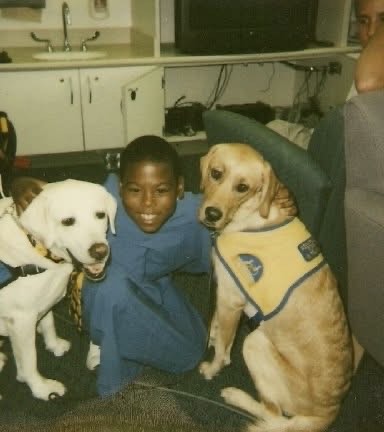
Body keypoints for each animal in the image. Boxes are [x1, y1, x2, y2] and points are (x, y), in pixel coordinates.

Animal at [0, 178, 116, 398]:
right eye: (68, 221)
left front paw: (54, 344)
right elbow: (29, 361)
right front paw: (41, 388)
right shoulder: (20, 320)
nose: (100, 251)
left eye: (100, 214)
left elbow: (48, 322)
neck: (36, 244)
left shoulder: (43, 302)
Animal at [200, 143, 352, 430]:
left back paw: (237, 396)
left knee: (272, 414)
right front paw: (213, 335)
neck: (250, 213)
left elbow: (223, 349)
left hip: (254, 342)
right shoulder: (226, 295)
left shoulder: (230, 299)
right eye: (216, 173)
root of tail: (330, 411)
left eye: (243, 187)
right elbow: (219, 328)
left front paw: (213, 367)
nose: (212, 215)